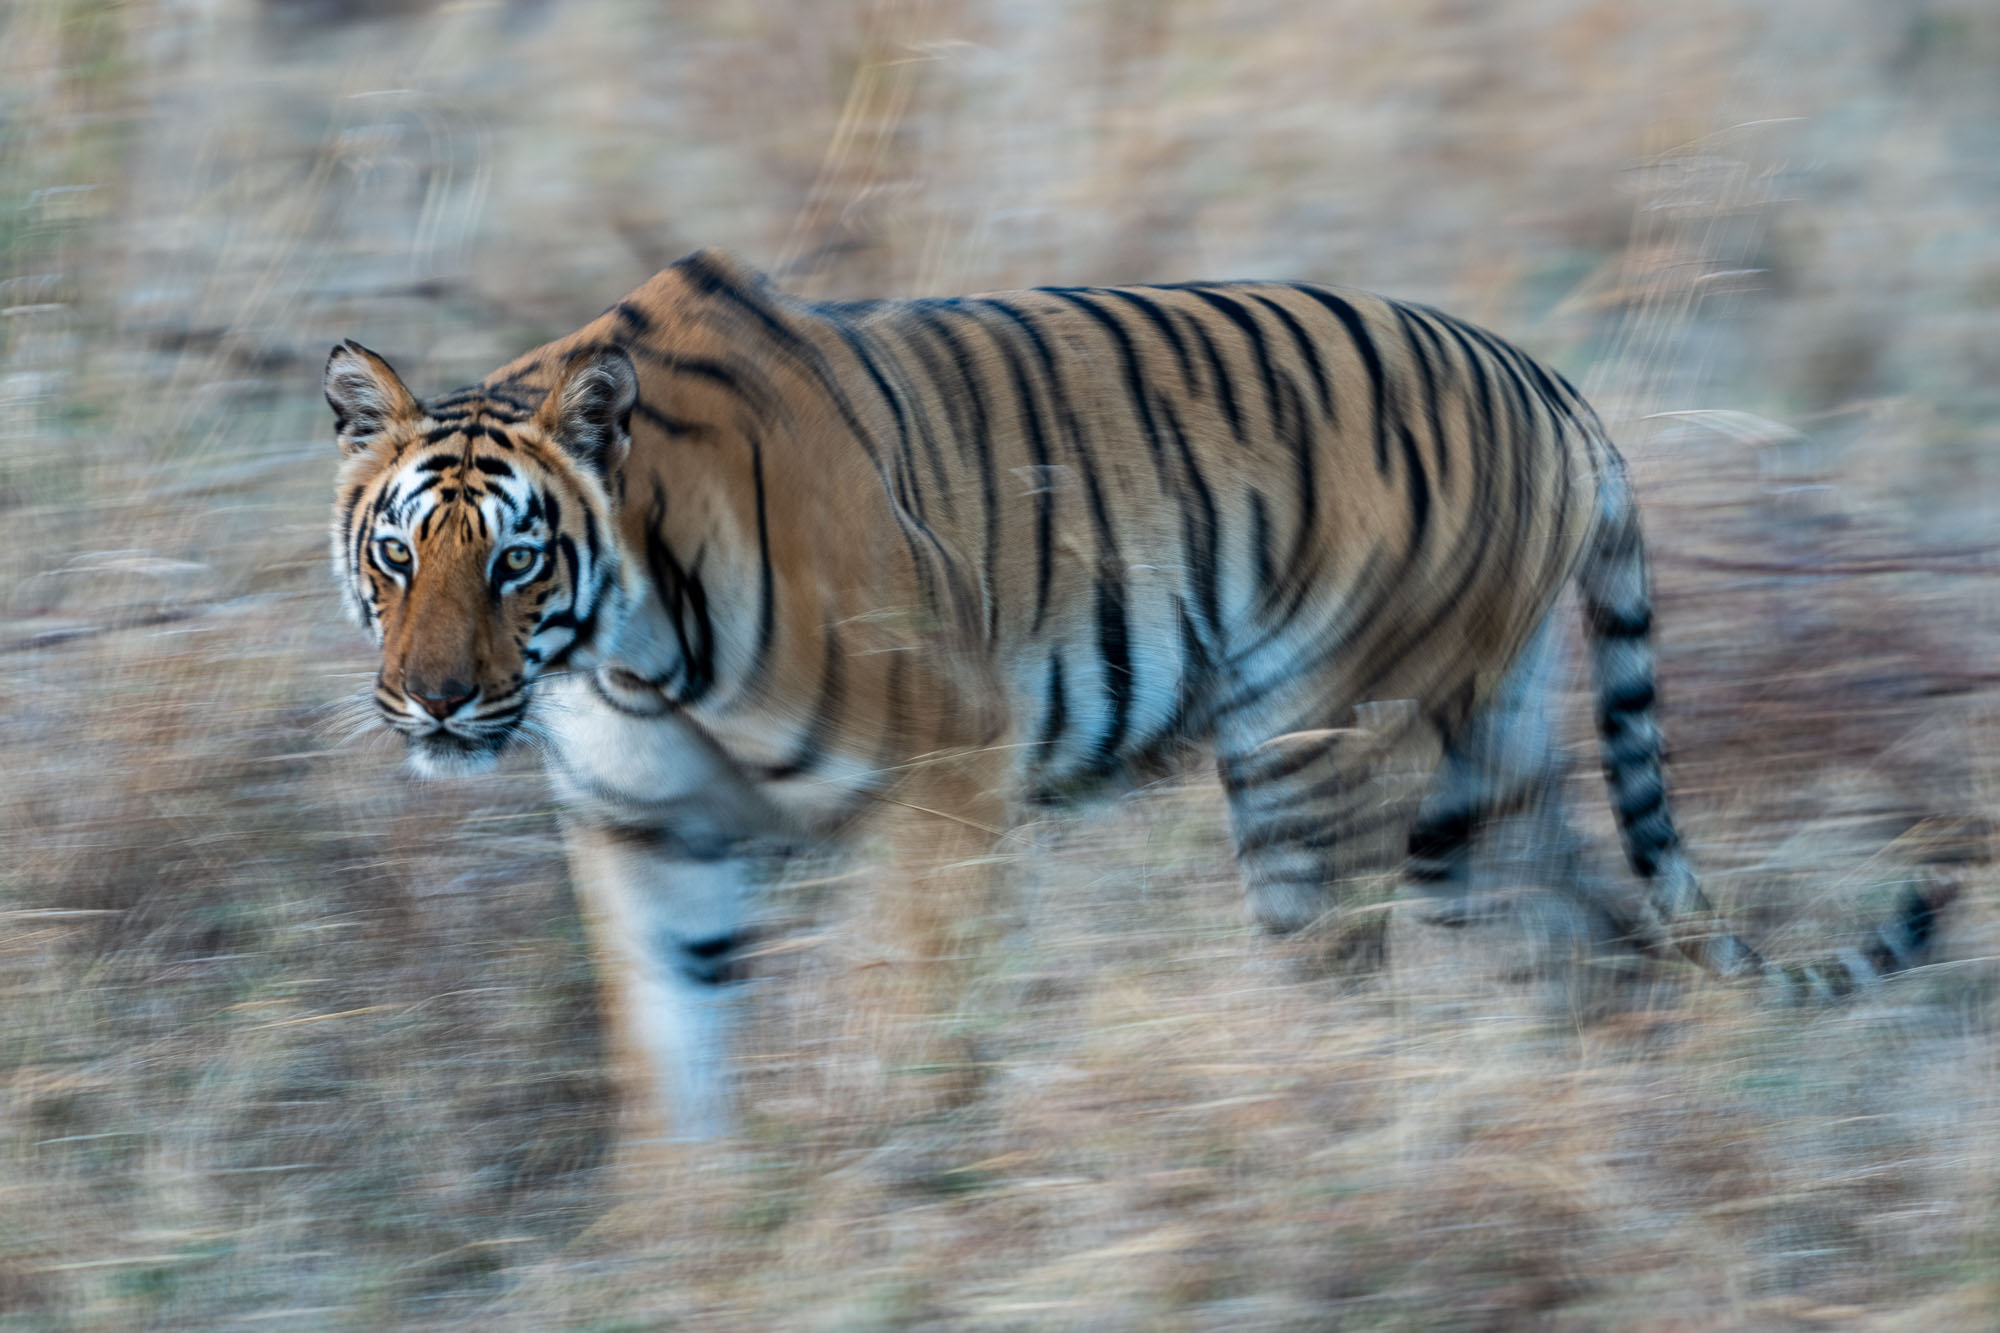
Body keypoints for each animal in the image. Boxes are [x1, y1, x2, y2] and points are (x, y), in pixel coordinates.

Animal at [325, 248, 1951, 1142]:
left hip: (1317, 750)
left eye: (517, 560)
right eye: (397, 555)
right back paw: (1608, 1131)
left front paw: (899, 1157)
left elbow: (912, 1011)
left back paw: (1326, 1133)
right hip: (1484, 772)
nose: (434, 706)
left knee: (1352, 982)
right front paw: (688, 1245)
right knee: (1602, 953)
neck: (626, 652)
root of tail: (1550, 382)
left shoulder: (950, 763)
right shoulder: (645, 831)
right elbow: (668, 1066)